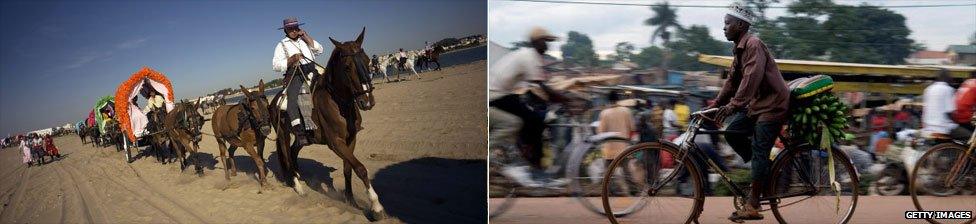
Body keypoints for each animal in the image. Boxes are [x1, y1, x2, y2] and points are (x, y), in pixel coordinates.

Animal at [270, 27, 386, 218]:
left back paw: (299, 176)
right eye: (347, 67)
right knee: (286, 155)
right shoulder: (336, 143)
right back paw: (299, 187)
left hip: (303, 139)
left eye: (368, 60)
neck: (338, 102)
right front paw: (376, 207)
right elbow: (360, 168)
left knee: (294, 151)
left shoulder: (350, 139)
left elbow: (348, 169)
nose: (367, 101)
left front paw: (350, 200)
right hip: (282, 134)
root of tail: (274, 102)